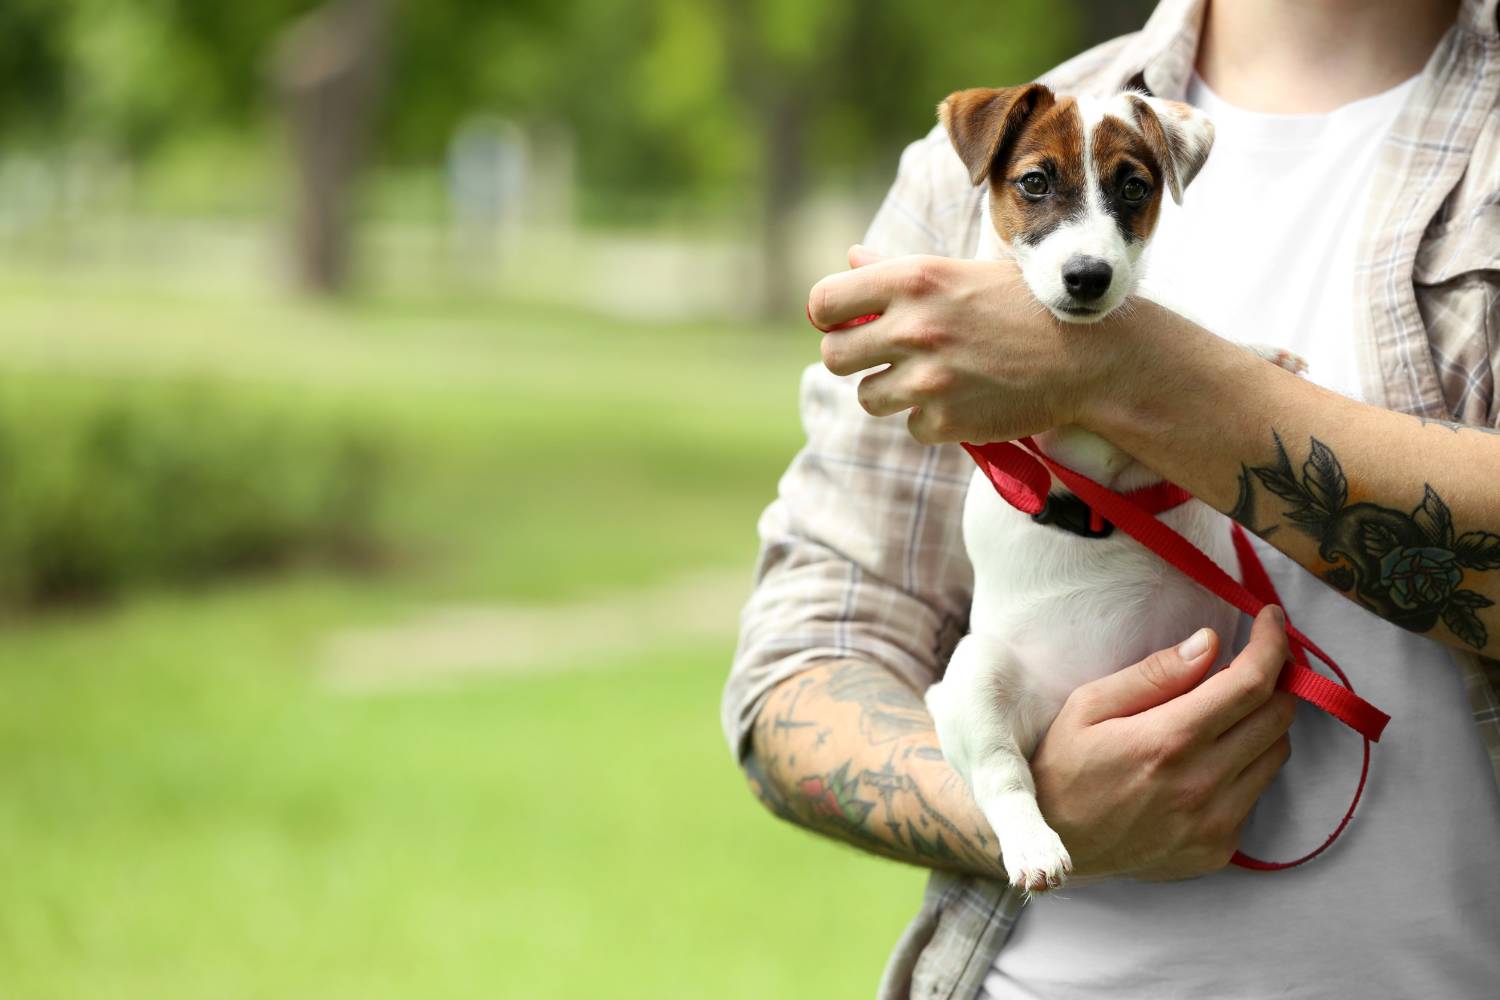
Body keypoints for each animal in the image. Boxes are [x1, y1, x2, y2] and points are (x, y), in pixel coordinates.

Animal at [912, 86, 1302, 893]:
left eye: (1134, 186)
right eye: (1034, 182)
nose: (1088, 277)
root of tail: (1067, 706)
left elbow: (1186, 337)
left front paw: (1255, 356)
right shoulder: (1063, 436)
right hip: (978, 675)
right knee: (1002, 773)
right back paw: (1033, 845)